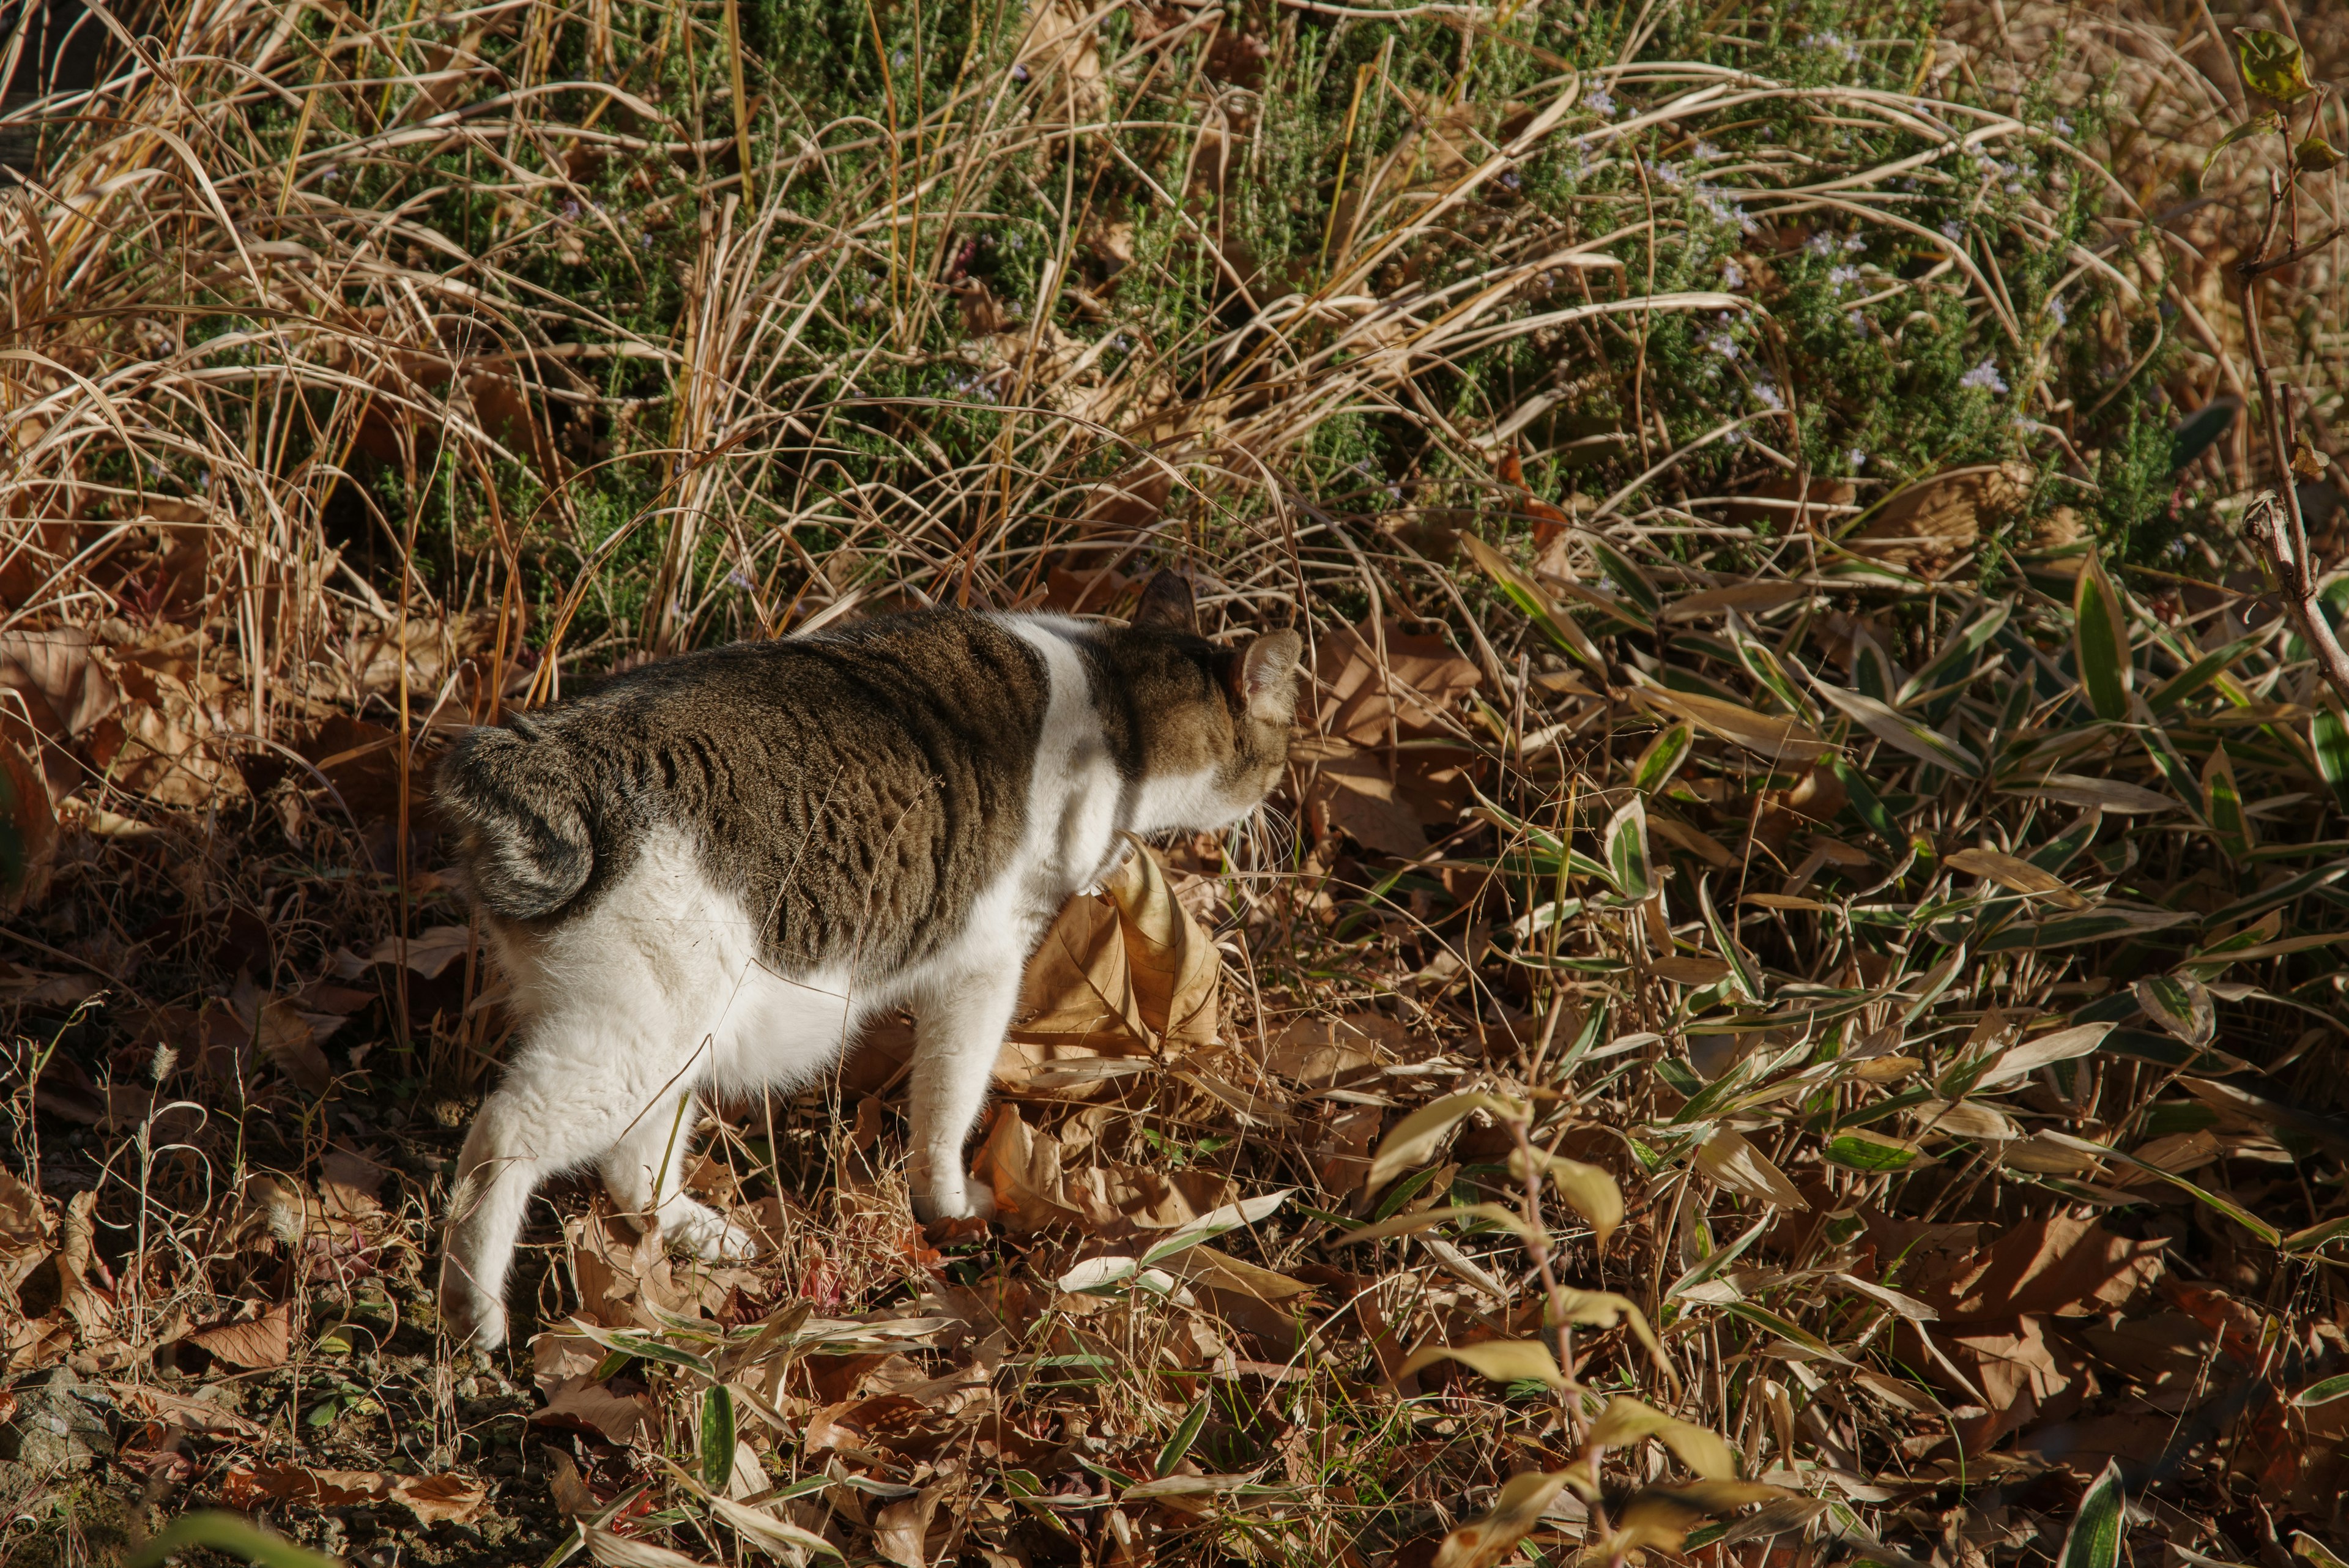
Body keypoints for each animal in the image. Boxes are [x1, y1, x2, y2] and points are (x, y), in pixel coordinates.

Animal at [427, 573, 1306, 1354]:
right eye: (1275, 751)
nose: (1277, 799)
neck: (1116, 703)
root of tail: (547, 762)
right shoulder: (986, 966)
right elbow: (951, 1098)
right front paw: (951, 1203)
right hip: (639, 1032)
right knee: (505, 1134)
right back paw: (473, 1315)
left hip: (679, 1031)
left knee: (633, 1161)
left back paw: (699, 1234)